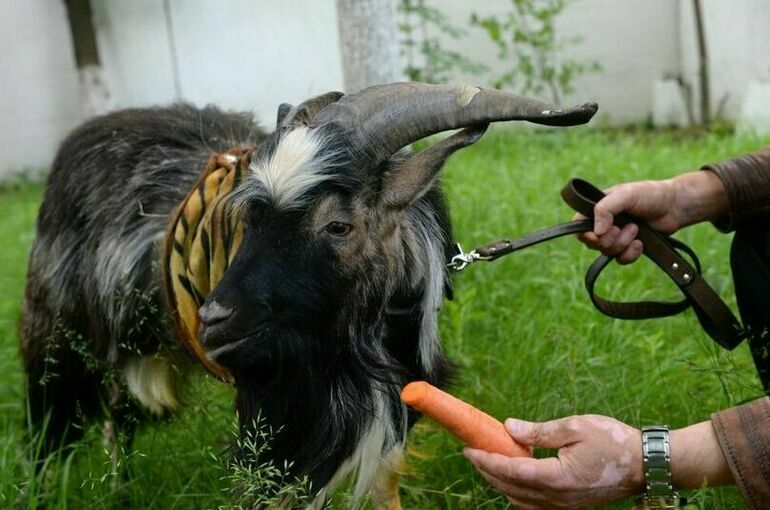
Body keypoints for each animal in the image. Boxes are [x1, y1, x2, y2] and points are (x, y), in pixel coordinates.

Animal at [19, 82, 592, 506]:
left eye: (337, 226)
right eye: (250, 219)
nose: (214, 320)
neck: (359, 348)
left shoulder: (398, 404)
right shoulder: (276, 419)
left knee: (120, 415)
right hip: (59, 336)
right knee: (58, 427)